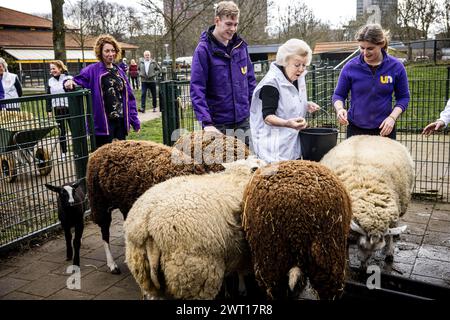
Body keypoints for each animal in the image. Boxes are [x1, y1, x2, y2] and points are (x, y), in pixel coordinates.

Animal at [123, 156, 266, 300]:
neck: (236, 176)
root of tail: (148, 223)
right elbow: (241, 270)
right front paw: (241, 289)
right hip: (196, 272)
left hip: (142, 269)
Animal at [320, 135, 414, 268]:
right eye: (361, 245)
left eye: (375, 250)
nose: (363, 266)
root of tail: (371, 135)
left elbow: (389, 237)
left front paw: (389, 253)